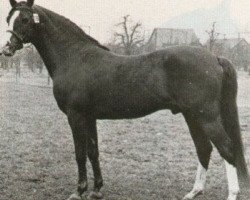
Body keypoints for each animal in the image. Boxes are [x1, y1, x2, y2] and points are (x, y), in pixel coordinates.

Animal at [0, 0, 249, 199]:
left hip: (207, 117)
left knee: (227, 149)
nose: (8, 49)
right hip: (192, 116)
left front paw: (79, 191)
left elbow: (80, 152)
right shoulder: (89, 117)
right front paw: (97, 189)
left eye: (25, 18)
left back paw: (232, 193)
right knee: (204, 148)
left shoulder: (76, 116)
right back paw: (194, 191)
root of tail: (214, 57)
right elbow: (93, 151)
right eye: (9, 18)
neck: (74, 57)